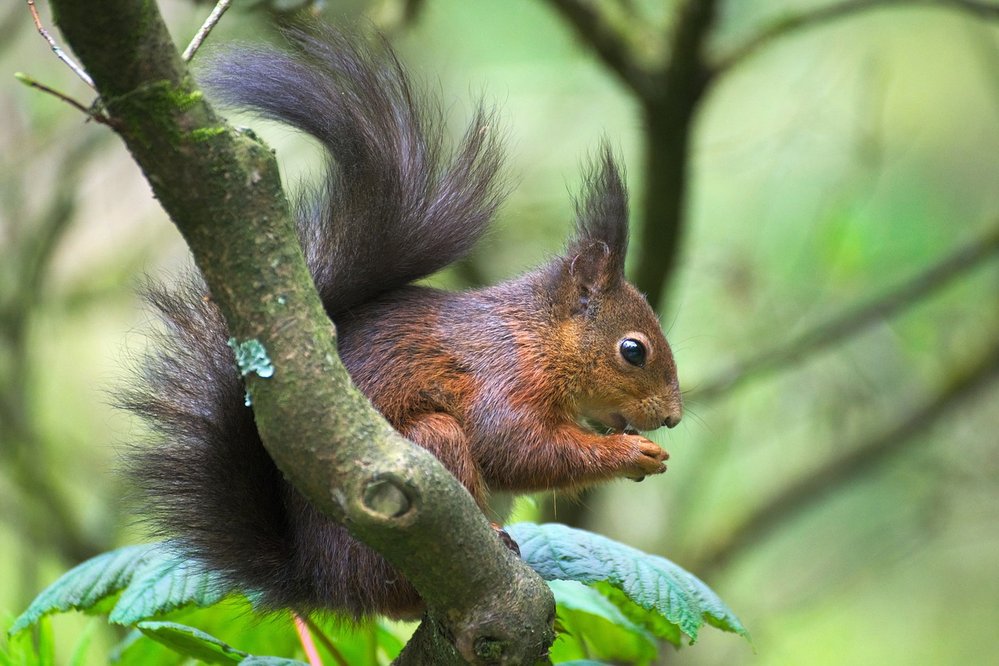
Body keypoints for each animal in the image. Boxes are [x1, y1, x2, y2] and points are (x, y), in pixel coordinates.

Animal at [125, 24, 684, 616]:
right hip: (425, 455)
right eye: (633, 350)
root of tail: (325, 583)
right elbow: (516, 448)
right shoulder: (502, 378)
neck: (535, 335)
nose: (672, 416)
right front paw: (632, 452)